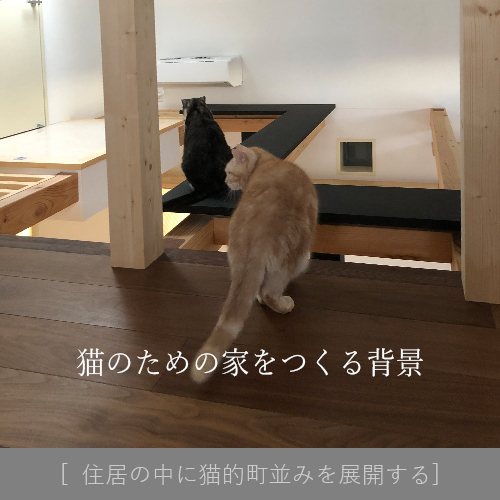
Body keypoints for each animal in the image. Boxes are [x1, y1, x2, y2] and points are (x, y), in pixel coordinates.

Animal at [190, 145, 319, 383]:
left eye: (228, 172)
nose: (226, 182)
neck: (268, 162)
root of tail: (256, 233)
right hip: (296, 257)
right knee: (271, 292)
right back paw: (283, 304)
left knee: (259, 288)